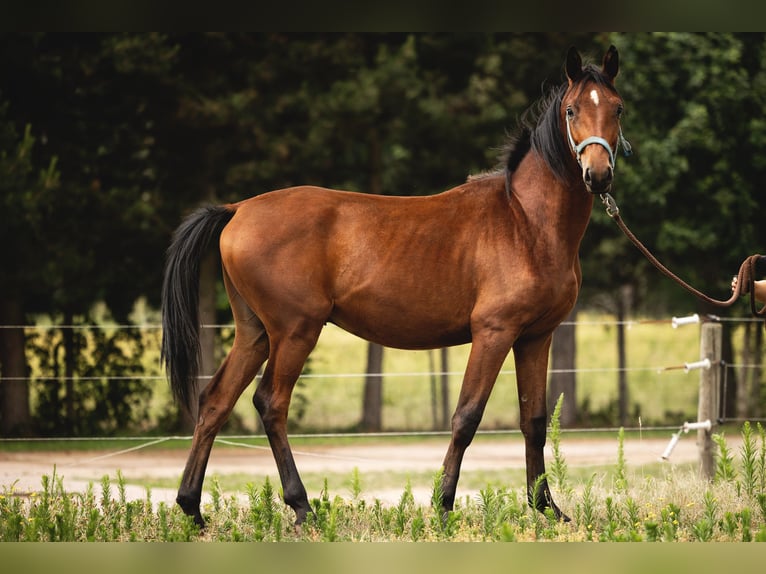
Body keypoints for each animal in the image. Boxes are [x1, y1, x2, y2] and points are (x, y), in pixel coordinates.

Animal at [160, 46, 632, 532]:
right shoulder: (494, 333)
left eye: (617, 108)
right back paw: (302, 506)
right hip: (294, 332)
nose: (598, 175)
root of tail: (238, 209)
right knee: (271, 402)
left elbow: (534, 420)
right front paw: (443, 506)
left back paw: (192, 507)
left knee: (215, 401)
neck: (525, 220)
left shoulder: (535, 337)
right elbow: (466, 416)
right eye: (571, 109)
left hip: (254, 333)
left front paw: (547, 508)